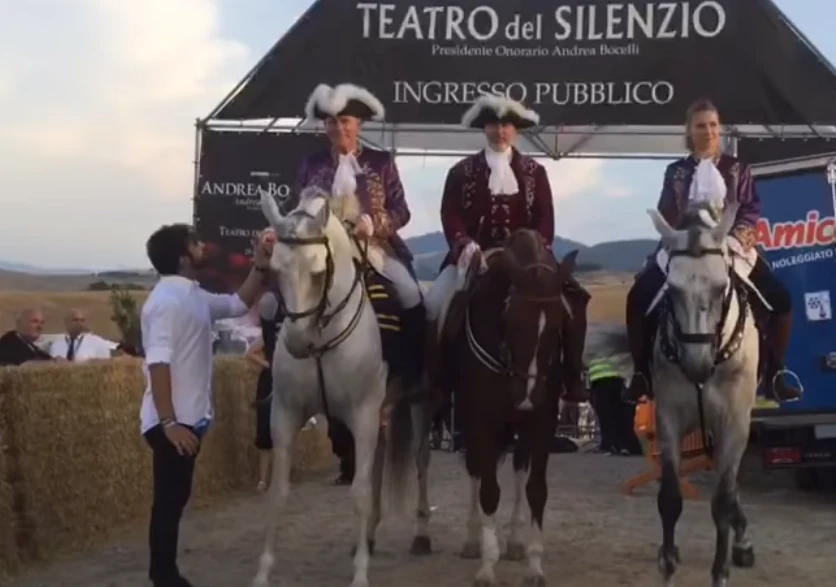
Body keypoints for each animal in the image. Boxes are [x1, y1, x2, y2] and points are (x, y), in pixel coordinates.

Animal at [251, 187, 414, 587]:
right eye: (275, 270)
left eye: (318, 272)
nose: (297, 342)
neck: (322, 337)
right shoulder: (285, 413)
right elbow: (277, 494)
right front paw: (262, 572)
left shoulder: (364, 415)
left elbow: (359, 492)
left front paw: (360, 575)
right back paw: (367, 539)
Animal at [440, 231, 580, 587]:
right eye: (512, 320)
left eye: (560, 324)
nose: (527, 395)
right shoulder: (480, 420)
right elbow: (489, 490)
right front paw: (487, 567)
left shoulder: (543, 421)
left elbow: (536, 490)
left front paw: (534, 565)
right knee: (475, 470)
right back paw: (473, 540)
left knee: (519, 466)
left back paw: (515, 542)